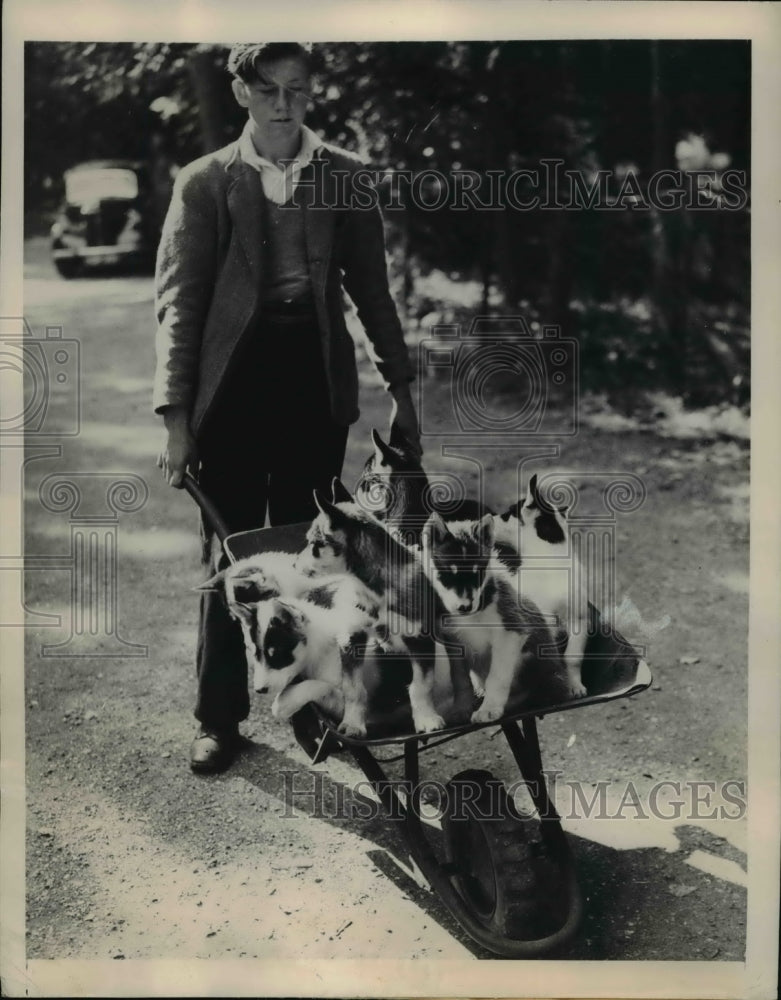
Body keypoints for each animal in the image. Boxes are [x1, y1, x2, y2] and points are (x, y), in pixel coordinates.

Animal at [424, 512, 568, 724]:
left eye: (478, 574)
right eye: (447, 574)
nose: (465, 607)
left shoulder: (511, 631)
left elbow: (497, 677)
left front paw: (489, 709)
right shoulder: (453, 642)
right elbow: (460, 679)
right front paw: (461, 709)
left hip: (530, 659)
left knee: (535, 692)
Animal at [496, 474, 588, 696]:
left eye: (506, 514)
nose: (486, 518)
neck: (552, 559)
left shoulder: (579, 619)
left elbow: (573, 657)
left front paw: (575, 684)